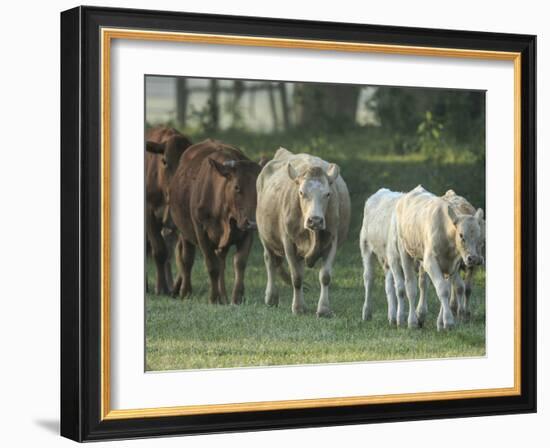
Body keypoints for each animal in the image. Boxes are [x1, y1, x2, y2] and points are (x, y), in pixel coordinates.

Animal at [168, 138, 264, 304]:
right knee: (187, 259)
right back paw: (186, 292)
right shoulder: (201, 232)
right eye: (237, 187)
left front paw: (236, 298)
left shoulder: (247, 233)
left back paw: (223, 297)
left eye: (258, 188)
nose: (252, 223)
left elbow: (239, 263)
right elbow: (211, 266)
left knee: (222, 262)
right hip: (185, 233)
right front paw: (213, 298)